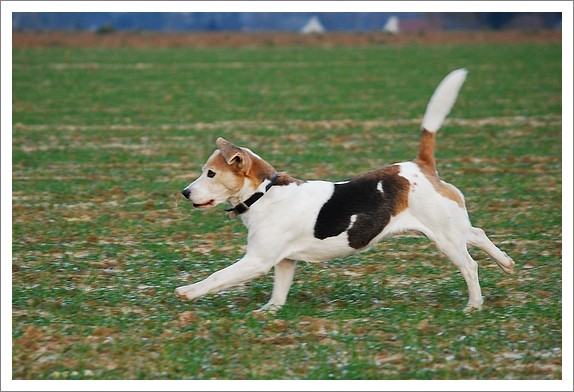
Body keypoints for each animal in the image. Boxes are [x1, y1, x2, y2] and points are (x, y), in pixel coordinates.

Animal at [177, 68, 516, 312]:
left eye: (210, 173)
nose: (184, 192)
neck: (265, 193)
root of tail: (421, 166)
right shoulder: (284, 262)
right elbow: (279, 291)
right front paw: (269, 312)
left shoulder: (257, 260)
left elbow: (218, 277)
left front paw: (189, 291)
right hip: (451, 227)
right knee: (478, 234)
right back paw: (506, 263)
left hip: (445, 236)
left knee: (470, 265)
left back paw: (474, 305)